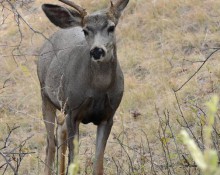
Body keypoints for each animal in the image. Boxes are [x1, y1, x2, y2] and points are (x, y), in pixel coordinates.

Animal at [36, 0, 129, 174]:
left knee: (60, 130)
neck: (99, 89)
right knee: (50, 142)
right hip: (46, 96)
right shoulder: (73, 112)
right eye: (85, 31)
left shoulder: (108, 116)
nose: (97, 51)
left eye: (111, 27)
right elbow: (74, 163)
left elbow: (98, 165)